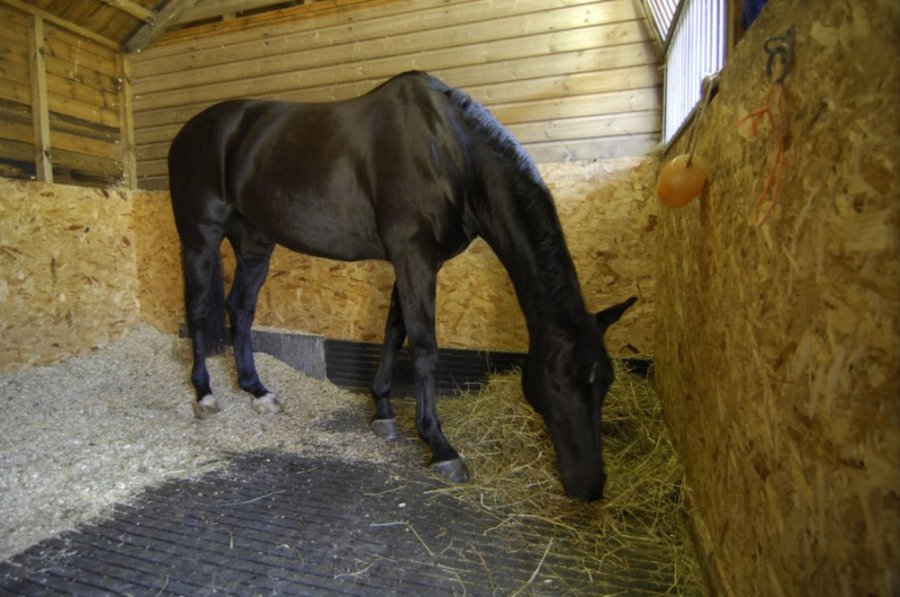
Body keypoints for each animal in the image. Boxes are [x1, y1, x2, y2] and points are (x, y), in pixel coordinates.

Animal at [167, 71, 632, 498]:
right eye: (559, 382)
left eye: (606, 381)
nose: (590, 487)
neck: (452, 153)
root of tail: (190, 132)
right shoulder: (414, 256)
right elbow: (424, 345)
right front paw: (440, 446)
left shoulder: (416, 261)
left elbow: (395, 331)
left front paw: (384, 411)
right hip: (200, 235)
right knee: (200, 310)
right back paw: (205, 395)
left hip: (255, 241)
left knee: (240, 309)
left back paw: (258, 391)